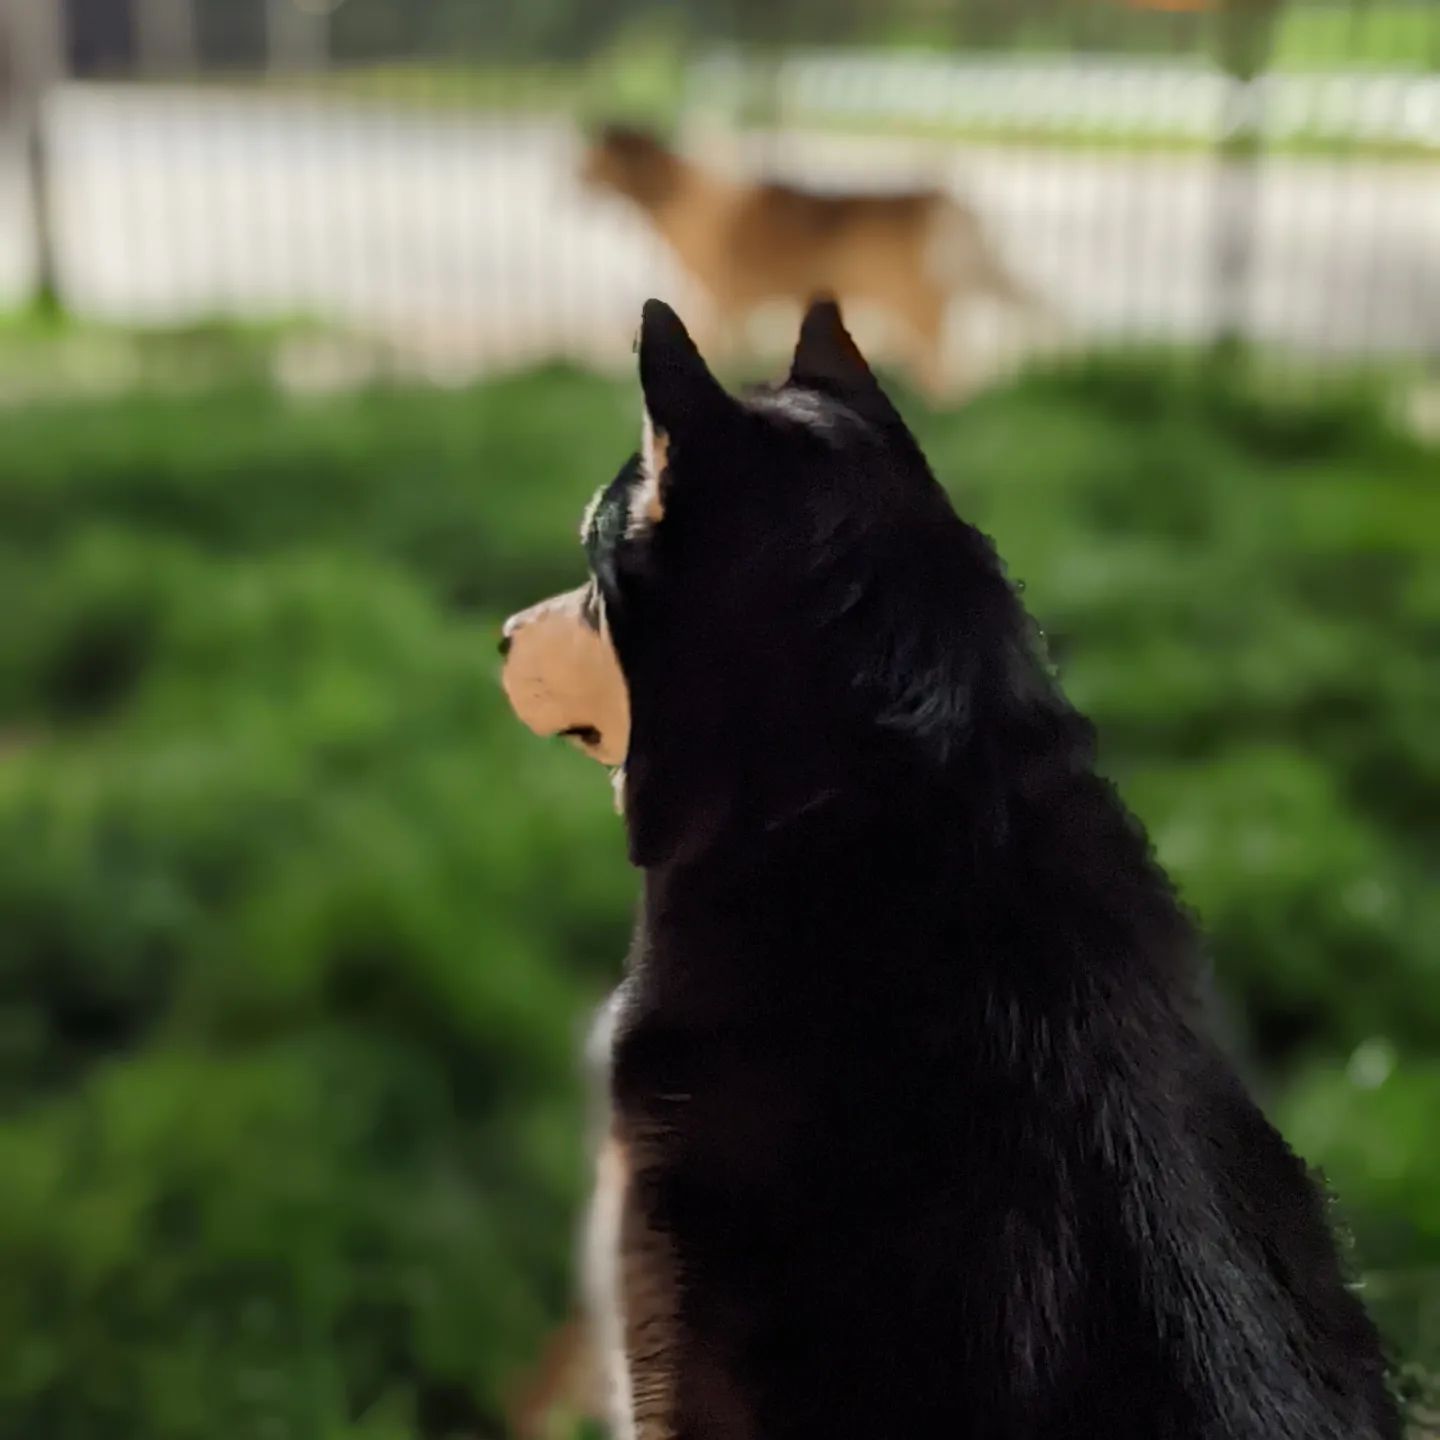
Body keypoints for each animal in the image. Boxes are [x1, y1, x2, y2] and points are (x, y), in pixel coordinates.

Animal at [578, 121, 1042, 394]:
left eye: (595, 160)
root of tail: (940, 198)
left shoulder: (723, 303)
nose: (573, 180)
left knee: (943, 367)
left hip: (916, 304)